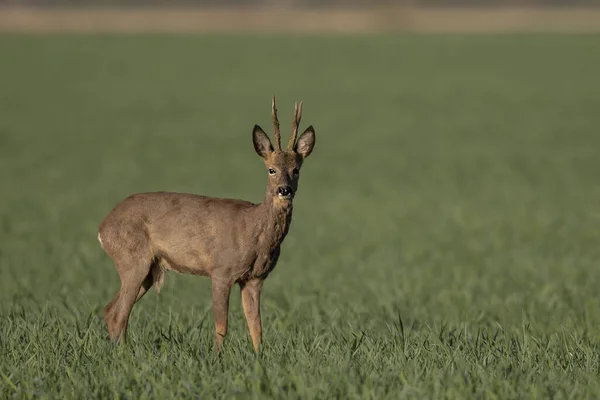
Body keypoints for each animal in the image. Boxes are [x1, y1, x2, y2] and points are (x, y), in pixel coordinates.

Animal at [96, 97, 316, 354]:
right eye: (271, 169)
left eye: (296, 170)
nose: (284, 190)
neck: (253, 229)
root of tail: (103, 227)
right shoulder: (221, 270)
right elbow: (222, 326)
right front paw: (217, 357)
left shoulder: (254, 278)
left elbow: (256, 327)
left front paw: (259, 357)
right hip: (132, 260)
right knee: (120, 313)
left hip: (148, 269)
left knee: (110, 310)